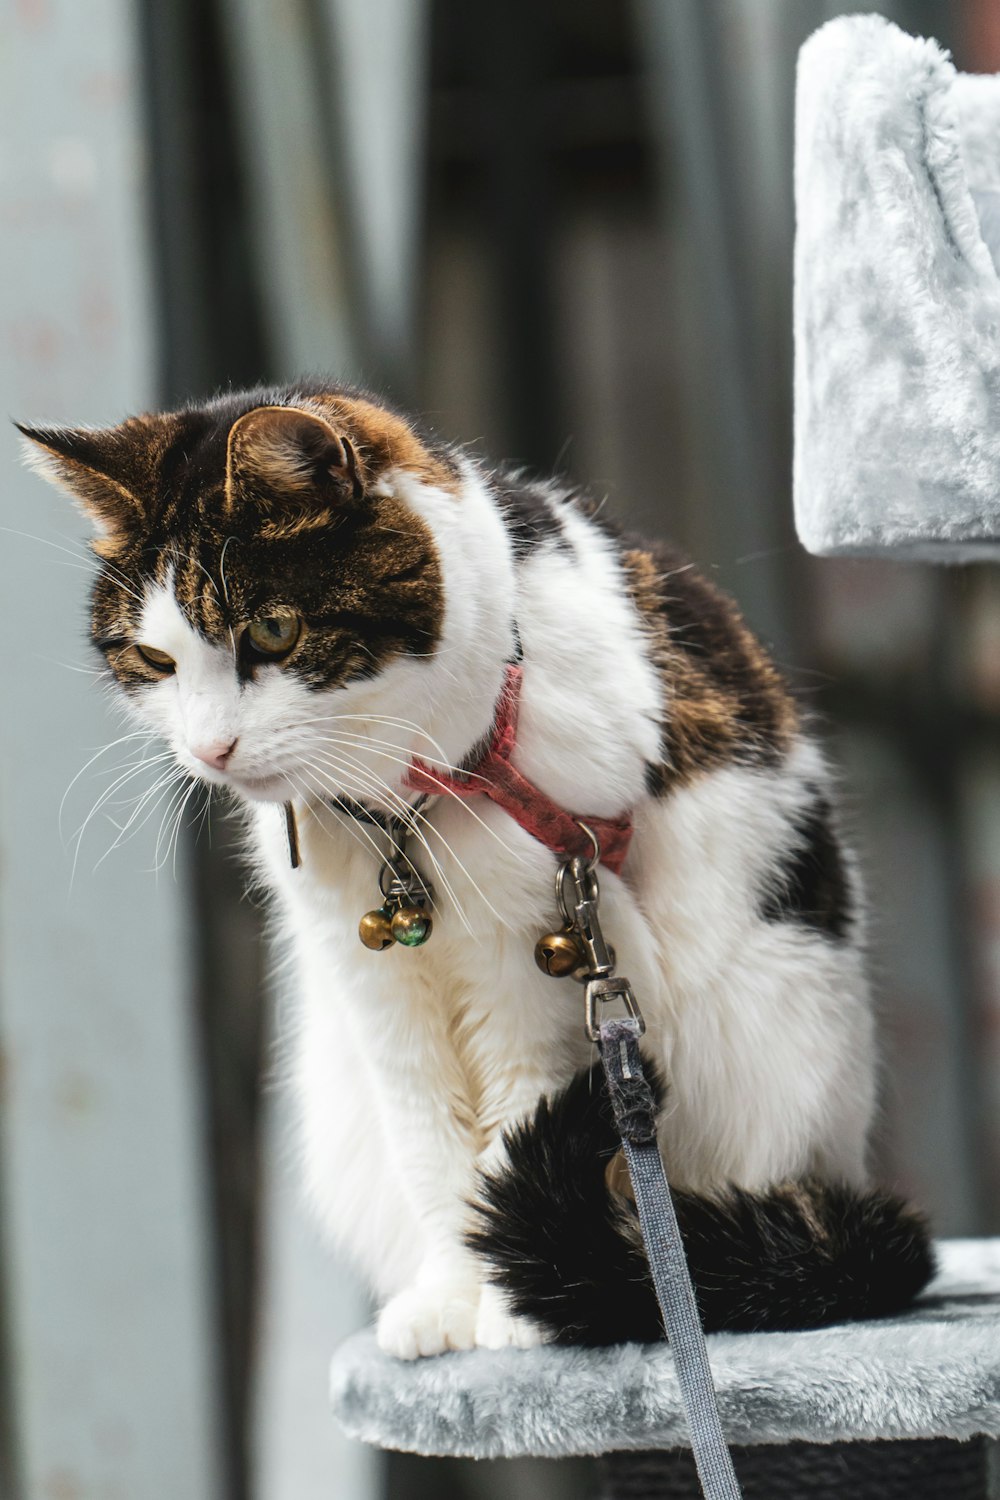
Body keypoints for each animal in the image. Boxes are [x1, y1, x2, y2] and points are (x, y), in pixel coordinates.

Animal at [19, 384, 935, 1362]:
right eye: (155, 661)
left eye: (273, 628)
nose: (209, 749)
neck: (403, 809)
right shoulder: (370, 983)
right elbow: (428, 1145)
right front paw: (445, 1298)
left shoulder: (538, 957)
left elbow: (511, 1125)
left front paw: (510, 1308)